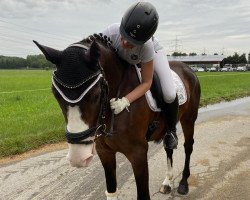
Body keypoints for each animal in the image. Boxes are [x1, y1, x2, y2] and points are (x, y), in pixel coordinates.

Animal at [33, 33, 201, 199]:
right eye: (55, 95)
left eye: (96, 95)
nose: (78, 157)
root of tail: (188, 68)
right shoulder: (105, 152)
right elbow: (111, 191)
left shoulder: (138, 153)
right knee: (168, 148)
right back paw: (167, 182)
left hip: (188, 119)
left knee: (188, 146)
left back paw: (183, 183)